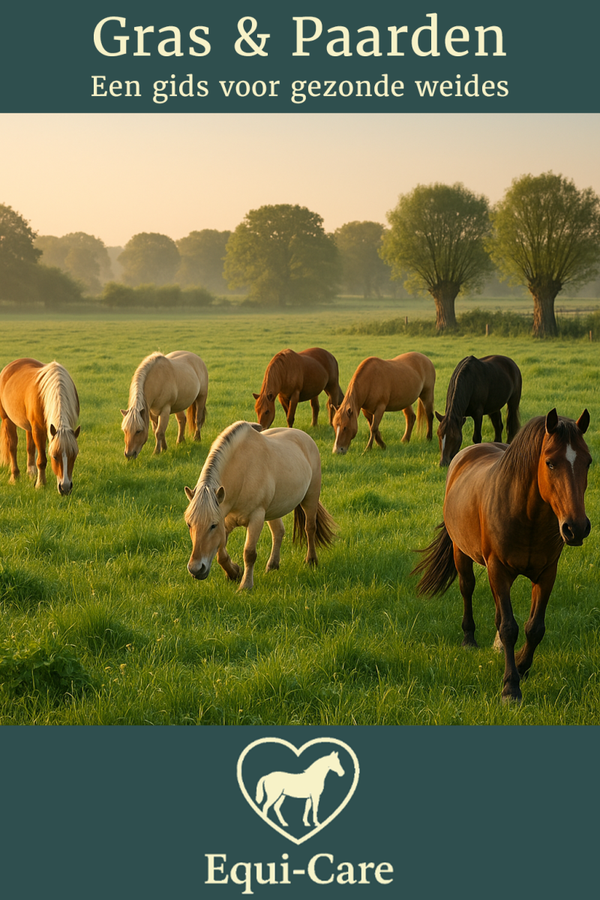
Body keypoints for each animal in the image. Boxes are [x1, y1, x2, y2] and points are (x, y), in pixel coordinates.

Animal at [0, 358, 80, 495]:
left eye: (74, 456)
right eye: (54, 456)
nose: (65, 488)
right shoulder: (39, 430)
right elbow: (42, 460)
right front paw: (40, 484)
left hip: (28, 426)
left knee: (30, 448)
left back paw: (31, 473)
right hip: (7, 420)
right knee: (12, 447)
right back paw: (15, 476)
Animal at [184, 420, 336, 591]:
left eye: (213, 525)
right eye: (189, 524)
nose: (196, 569)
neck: (242, 474)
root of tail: (304, 436)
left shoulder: (255, 518)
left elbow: (249, 553)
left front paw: (245, 585)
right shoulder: (226, 521)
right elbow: (221, 554)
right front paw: (234, 573)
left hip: (310, 497)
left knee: (310, 528)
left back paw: (311, 560)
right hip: (273, 510)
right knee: (278, 532)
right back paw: (272, 565)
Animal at [413, 409, 592, 703]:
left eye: (588, 462)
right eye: (550, 463)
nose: (576, 528)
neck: (527, 516)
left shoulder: (546, 574)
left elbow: (535, 628)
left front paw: (522, 666)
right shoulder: (498, 569)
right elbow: (509, 627)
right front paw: (511, 687)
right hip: (462, 553)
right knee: (467, 589)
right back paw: (469, 639)